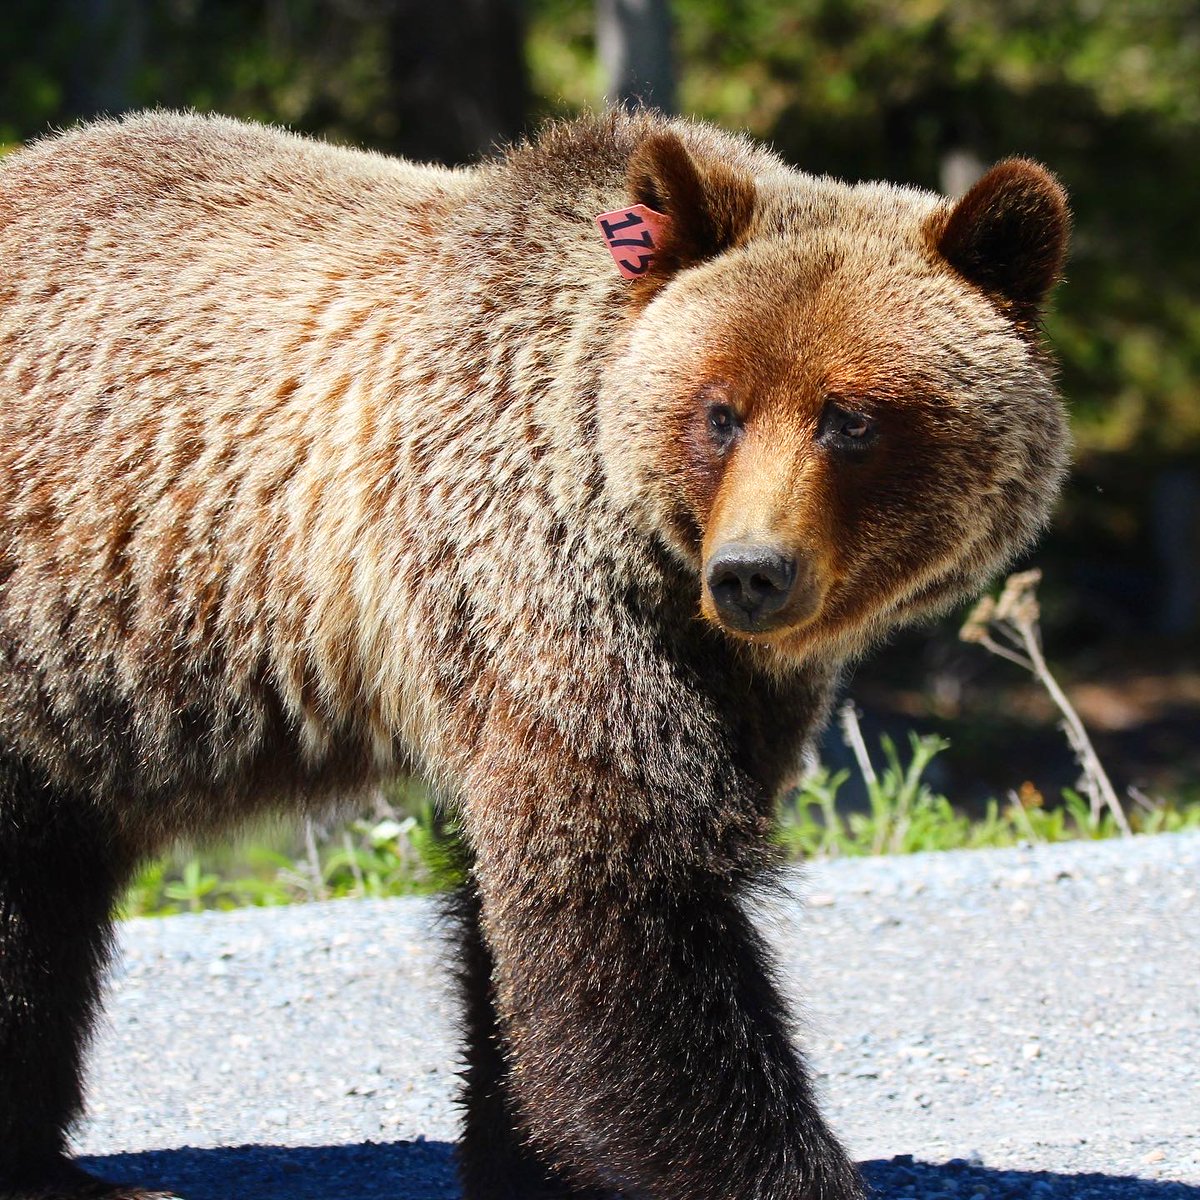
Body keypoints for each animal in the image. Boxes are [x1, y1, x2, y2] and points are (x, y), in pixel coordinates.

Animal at [0, 108, 1069, 1200]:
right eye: (719, 411)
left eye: (850, 417)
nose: (751, 573)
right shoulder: (536, 586)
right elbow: (626, 908)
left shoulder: (718, 681)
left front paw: (525, 1156)